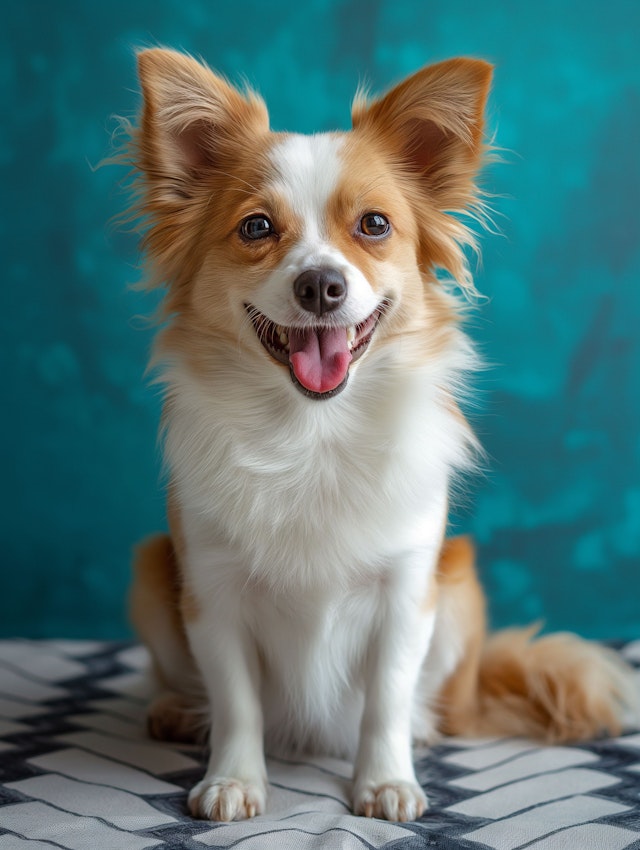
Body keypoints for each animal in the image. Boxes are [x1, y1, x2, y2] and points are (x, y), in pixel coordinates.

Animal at [121, 48, 636, 820]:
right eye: (255, 229)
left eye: (372, 226)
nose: (321, 284)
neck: (310, 430)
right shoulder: (212, 592)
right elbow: (237, 699)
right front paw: (234, 779)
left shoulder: (407, 592)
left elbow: (386, 698)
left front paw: (386, 780)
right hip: (152, 567)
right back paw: (177, 709)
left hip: (460, 586)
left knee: (439, 708)